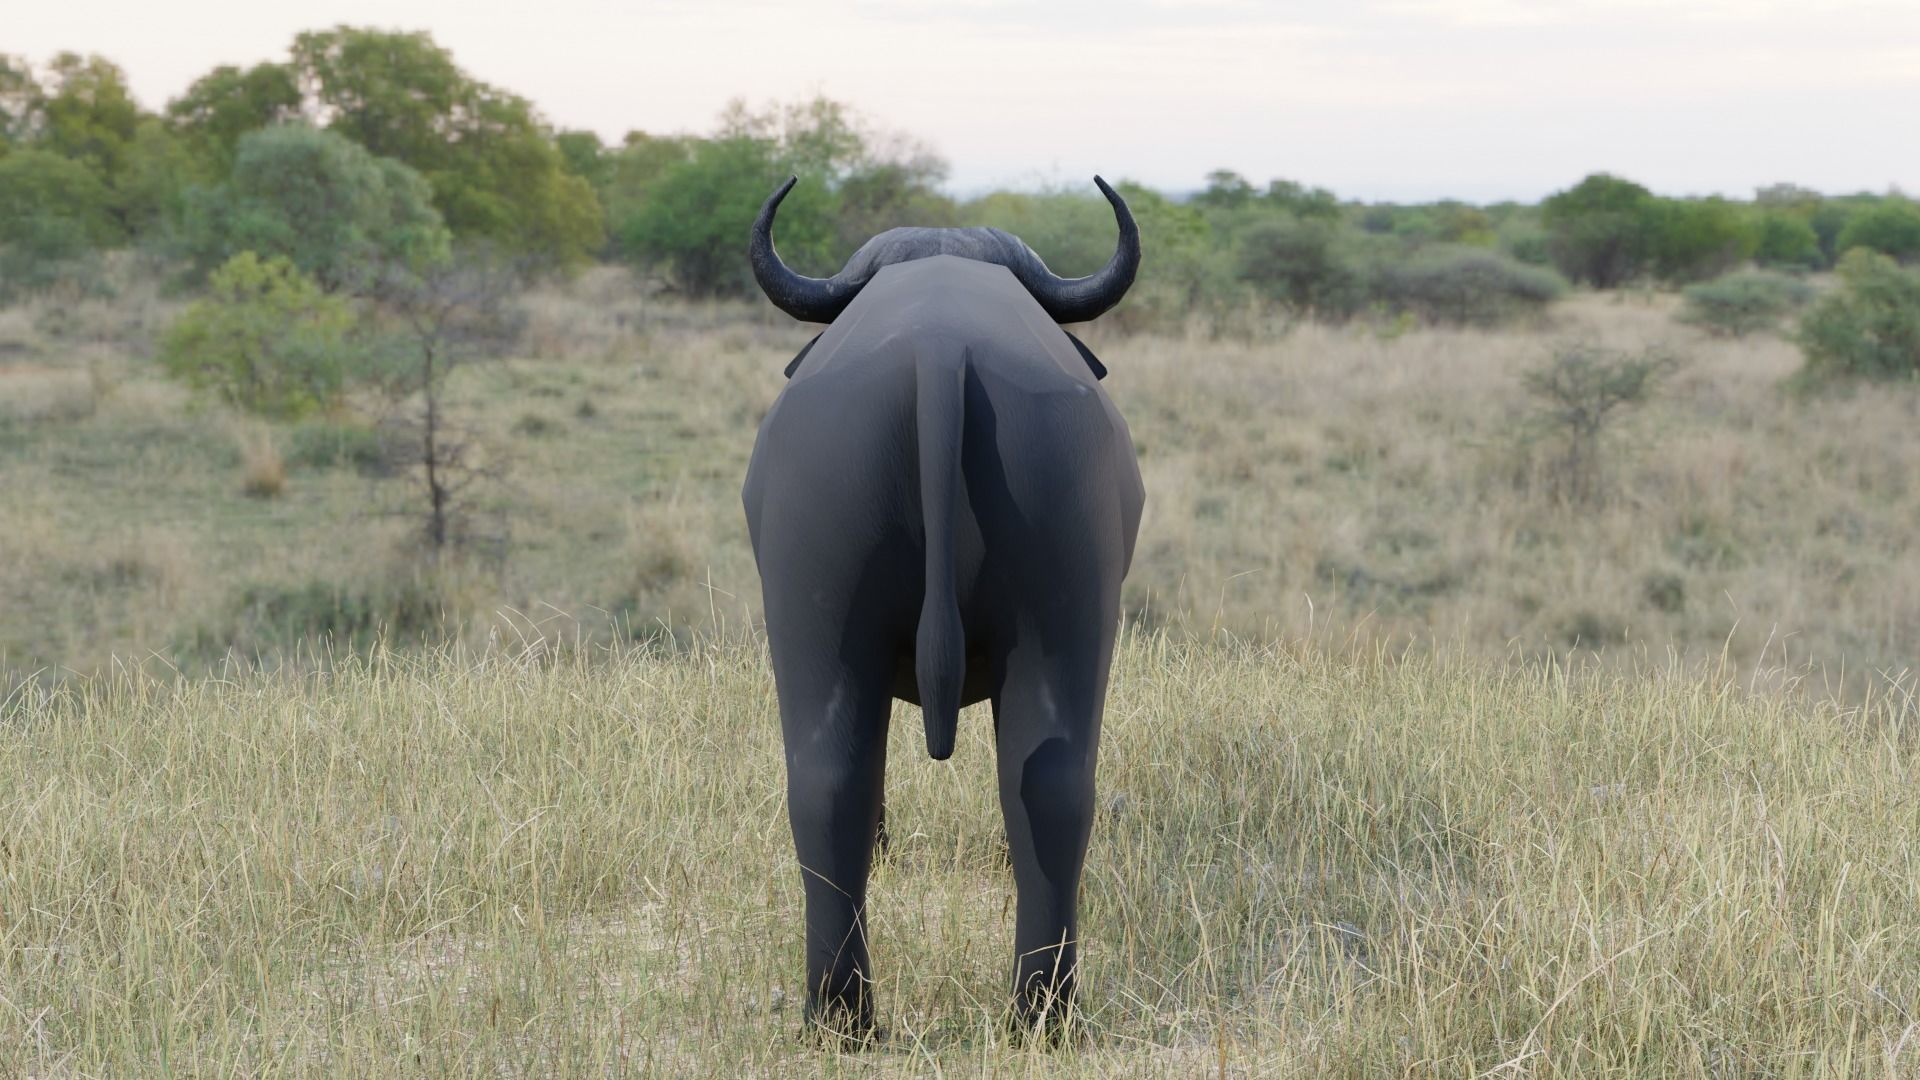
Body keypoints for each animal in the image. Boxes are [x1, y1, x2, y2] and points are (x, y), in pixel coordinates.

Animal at [742, 176, 1145, 1041]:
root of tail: (940, 350)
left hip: (823, 618)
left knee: (835, 782)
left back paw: (849, 1016)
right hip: (1059, 617)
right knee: (1043, 785)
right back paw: (1027, 1011)